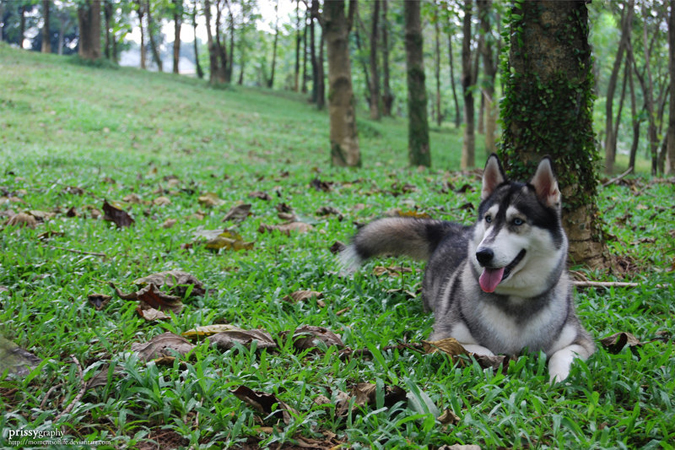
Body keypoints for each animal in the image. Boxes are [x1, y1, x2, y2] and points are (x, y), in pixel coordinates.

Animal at [344, 155, 596, 384]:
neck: (515, 299)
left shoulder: (581, 340)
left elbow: (563, 355)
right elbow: (481, 351)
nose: (482, 254)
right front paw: (501, 365)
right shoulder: (441, 337)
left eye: (517, 221)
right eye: (488, 218)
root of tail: (455, 229)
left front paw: (559, 379)